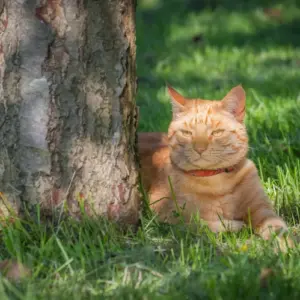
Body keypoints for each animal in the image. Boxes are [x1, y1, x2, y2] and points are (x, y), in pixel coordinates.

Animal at [140, 84, 290, 241]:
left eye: (217, 132)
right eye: (187, 133)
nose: (199, 148)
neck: (215, 181)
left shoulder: (262, 209)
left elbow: (278, 228)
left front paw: (285, 245)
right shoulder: (164, 216)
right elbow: (198, 224)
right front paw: (233, 226)